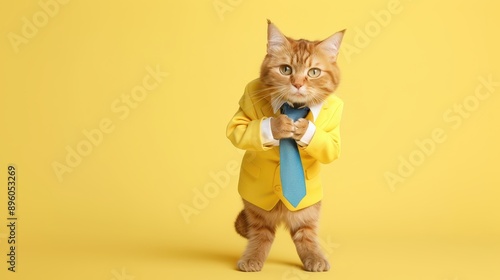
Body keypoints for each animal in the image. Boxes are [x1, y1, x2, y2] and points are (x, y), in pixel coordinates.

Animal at [226, 20, 344, 272]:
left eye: (313, 72)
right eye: (286, 70)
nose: (298, 84)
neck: (294, 106)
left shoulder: (334, 132)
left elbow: (330, 147)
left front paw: (302, 127)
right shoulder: (243, 111)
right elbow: (239, 131)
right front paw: (280, 124)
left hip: (307, 210)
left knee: (305, 234)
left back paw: (314, 258)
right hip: (257, 208)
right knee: (261, 234)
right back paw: (253, 258)